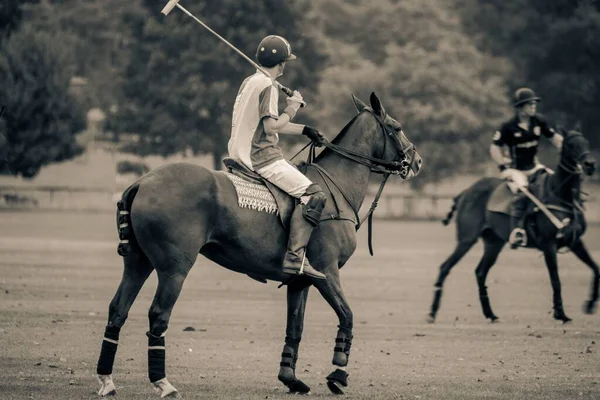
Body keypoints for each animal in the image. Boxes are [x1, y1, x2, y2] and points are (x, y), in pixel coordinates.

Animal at [95, 93, 422, 396]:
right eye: (397, 127)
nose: (417, 161)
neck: (336, 187)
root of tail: (141, 182)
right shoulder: (327, 271)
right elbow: (348, 315)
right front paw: (338, 375)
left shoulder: (300, 281)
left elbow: (295, 327)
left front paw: (291, 379)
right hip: (174, 268)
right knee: (158, 314)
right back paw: (163, 383)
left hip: (138, 261)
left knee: (117, 309)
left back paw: (107, 381)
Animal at [426, 130, 596, 324]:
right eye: (570, 144)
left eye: (586, 142)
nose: (590, 165)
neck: (562, 197)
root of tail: (466, 191)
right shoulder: (549, 245)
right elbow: (556, 280)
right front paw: (560, 314)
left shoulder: (575, 242)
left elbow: (595, 268)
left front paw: (590, 305)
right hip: (467, 239)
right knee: (445, 267)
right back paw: (432, 313)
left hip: (494, 242)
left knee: (480, 272)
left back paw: (490, 314)